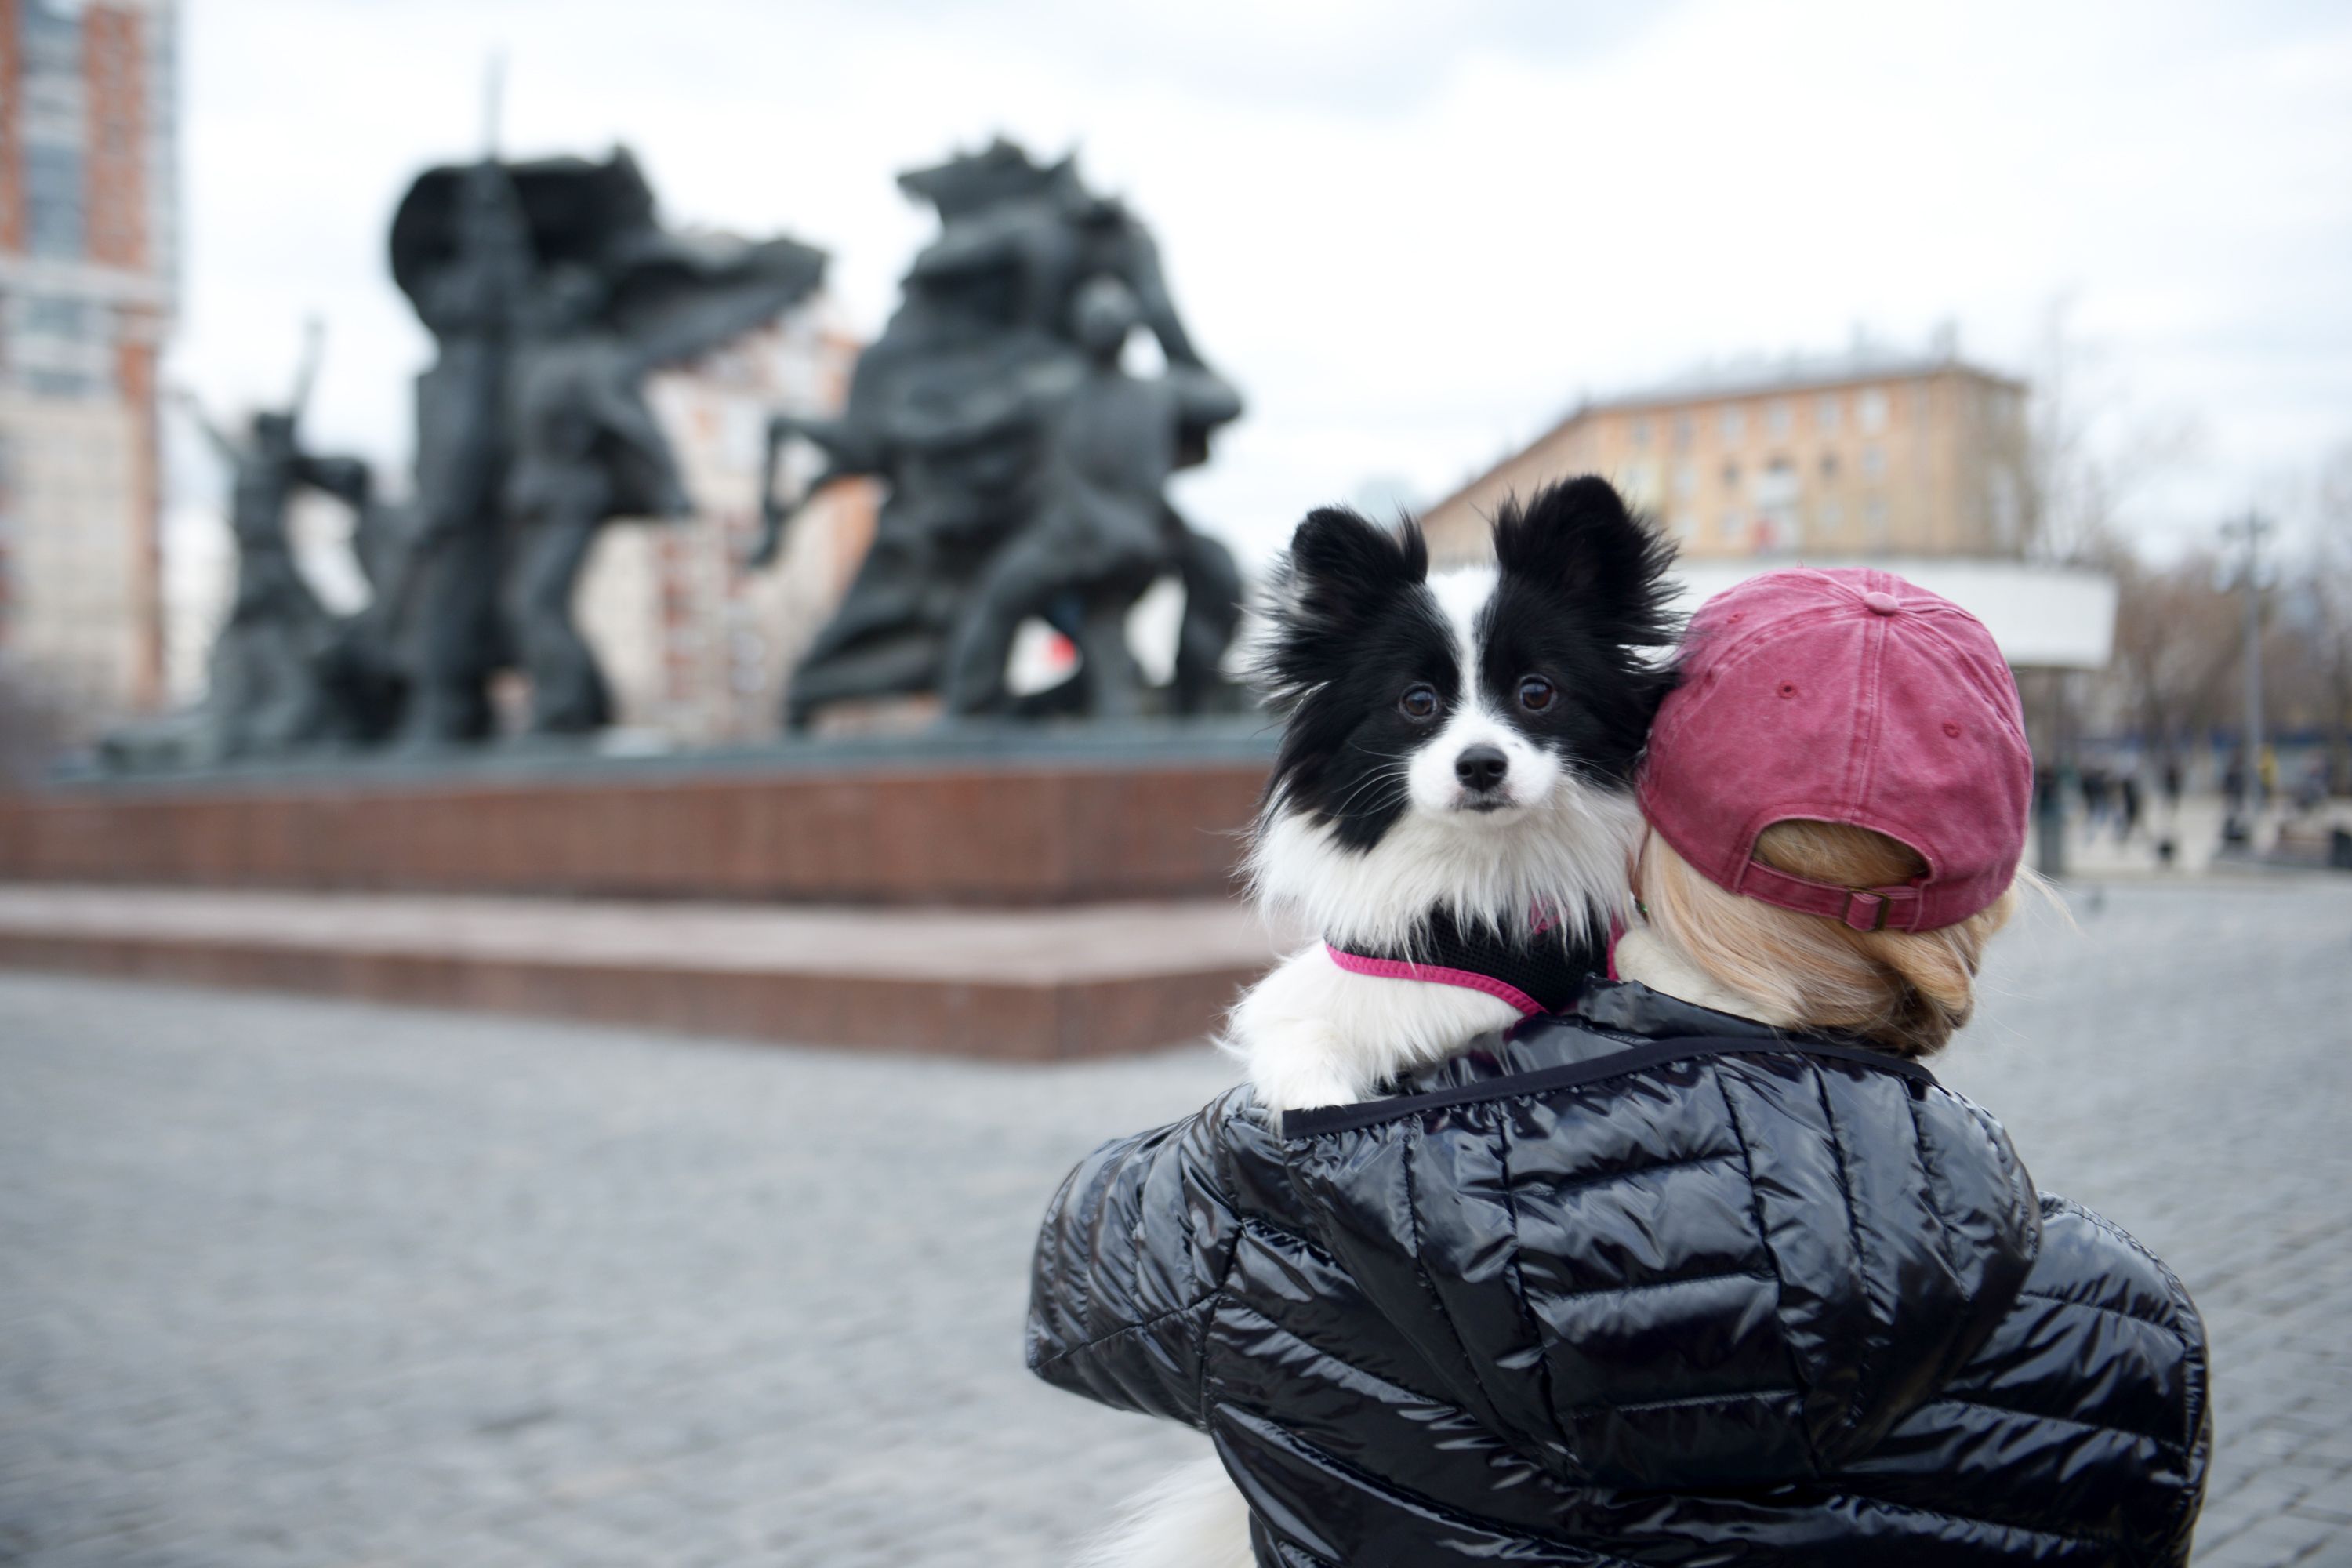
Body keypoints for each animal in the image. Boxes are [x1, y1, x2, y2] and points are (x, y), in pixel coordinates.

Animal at [1077, 479, 1684, 1568]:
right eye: (1417, 704)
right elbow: (1300, 1053)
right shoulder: (1323, 997)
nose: (1481, 763)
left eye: (1538, 693)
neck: (1483, 885)